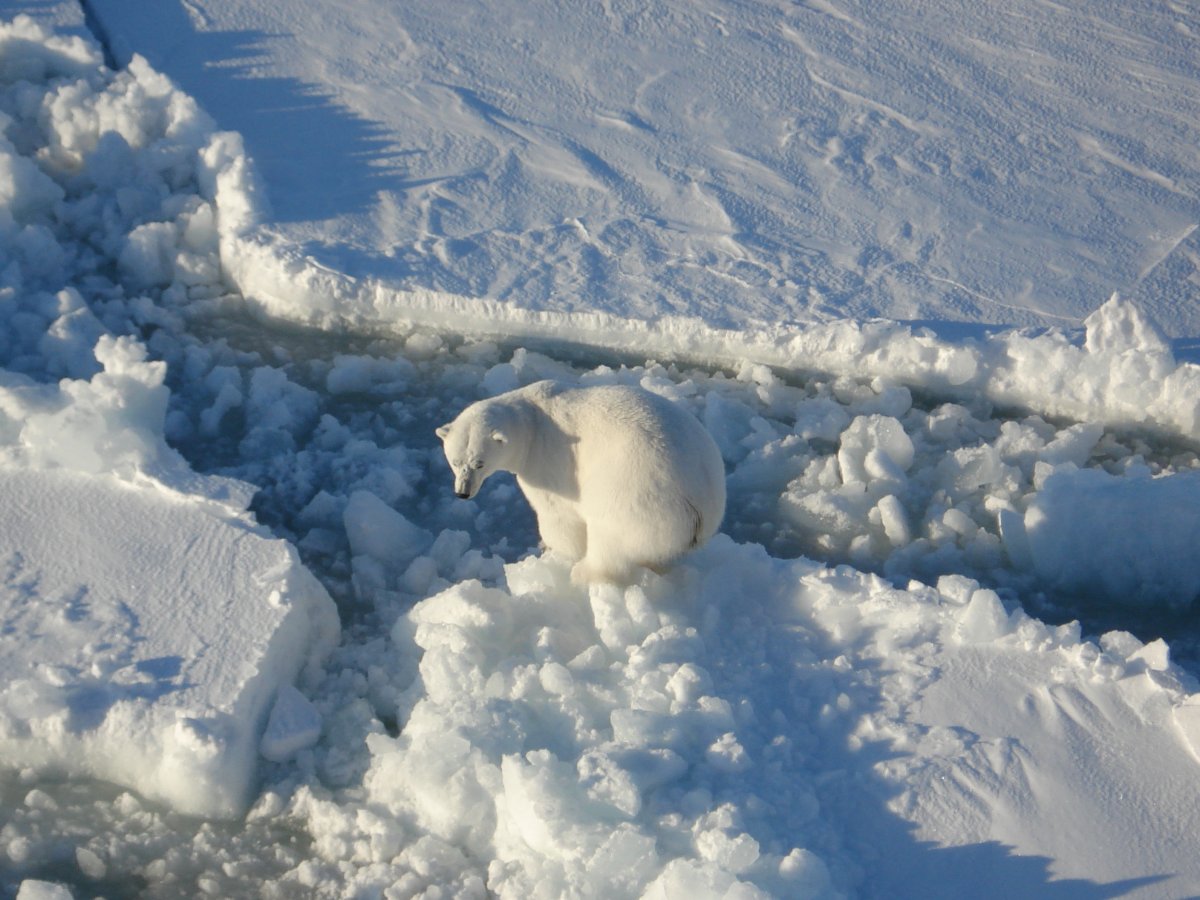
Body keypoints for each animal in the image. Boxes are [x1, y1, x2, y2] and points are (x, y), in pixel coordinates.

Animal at [436, 380, 726, 585]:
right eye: (455, 461)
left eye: (479, 463)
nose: (463, 492)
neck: (531, 421)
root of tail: (698, 507)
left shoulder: (546, 462)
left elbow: (559, 516)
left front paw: (554, 549)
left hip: (634, 495)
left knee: (609, 540)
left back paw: (584, 573)